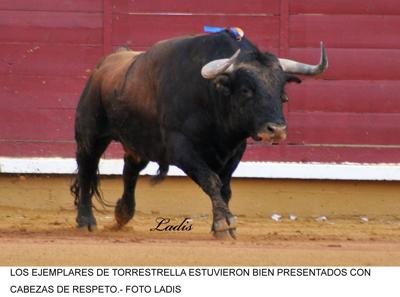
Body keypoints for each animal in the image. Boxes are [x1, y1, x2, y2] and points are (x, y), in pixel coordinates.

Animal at [70, 30, 326, 237]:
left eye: (282, 92)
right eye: (246, 90)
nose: (277, 130)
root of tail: (104, 65)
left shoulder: (235, 150)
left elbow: (224, 187)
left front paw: (220, 224)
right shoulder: (181, 149)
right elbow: (211, 180)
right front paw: (224, 224)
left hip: (139, 141)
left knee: (130, 169)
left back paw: (123, 213)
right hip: (91, 134)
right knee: (86, 167)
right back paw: (86, 221)